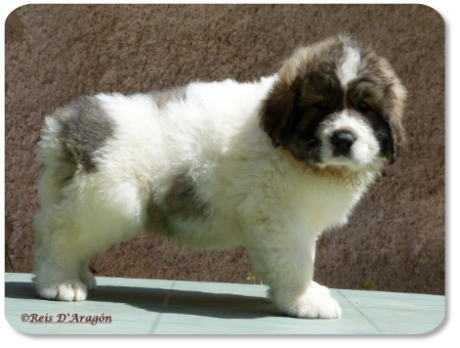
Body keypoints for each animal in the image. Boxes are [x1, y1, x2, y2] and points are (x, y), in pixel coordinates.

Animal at [33, 34, 406, 318]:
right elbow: (296, 262)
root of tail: (62, 124)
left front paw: (309, 293)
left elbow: (305, 258)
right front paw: (304, 300)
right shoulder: (280, 219)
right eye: (321, 106)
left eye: (365, 108)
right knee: (57, 233)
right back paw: (59, 283)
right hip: (108, 200)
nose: (343, 138)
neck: (287, 147)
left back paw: (81, 276)